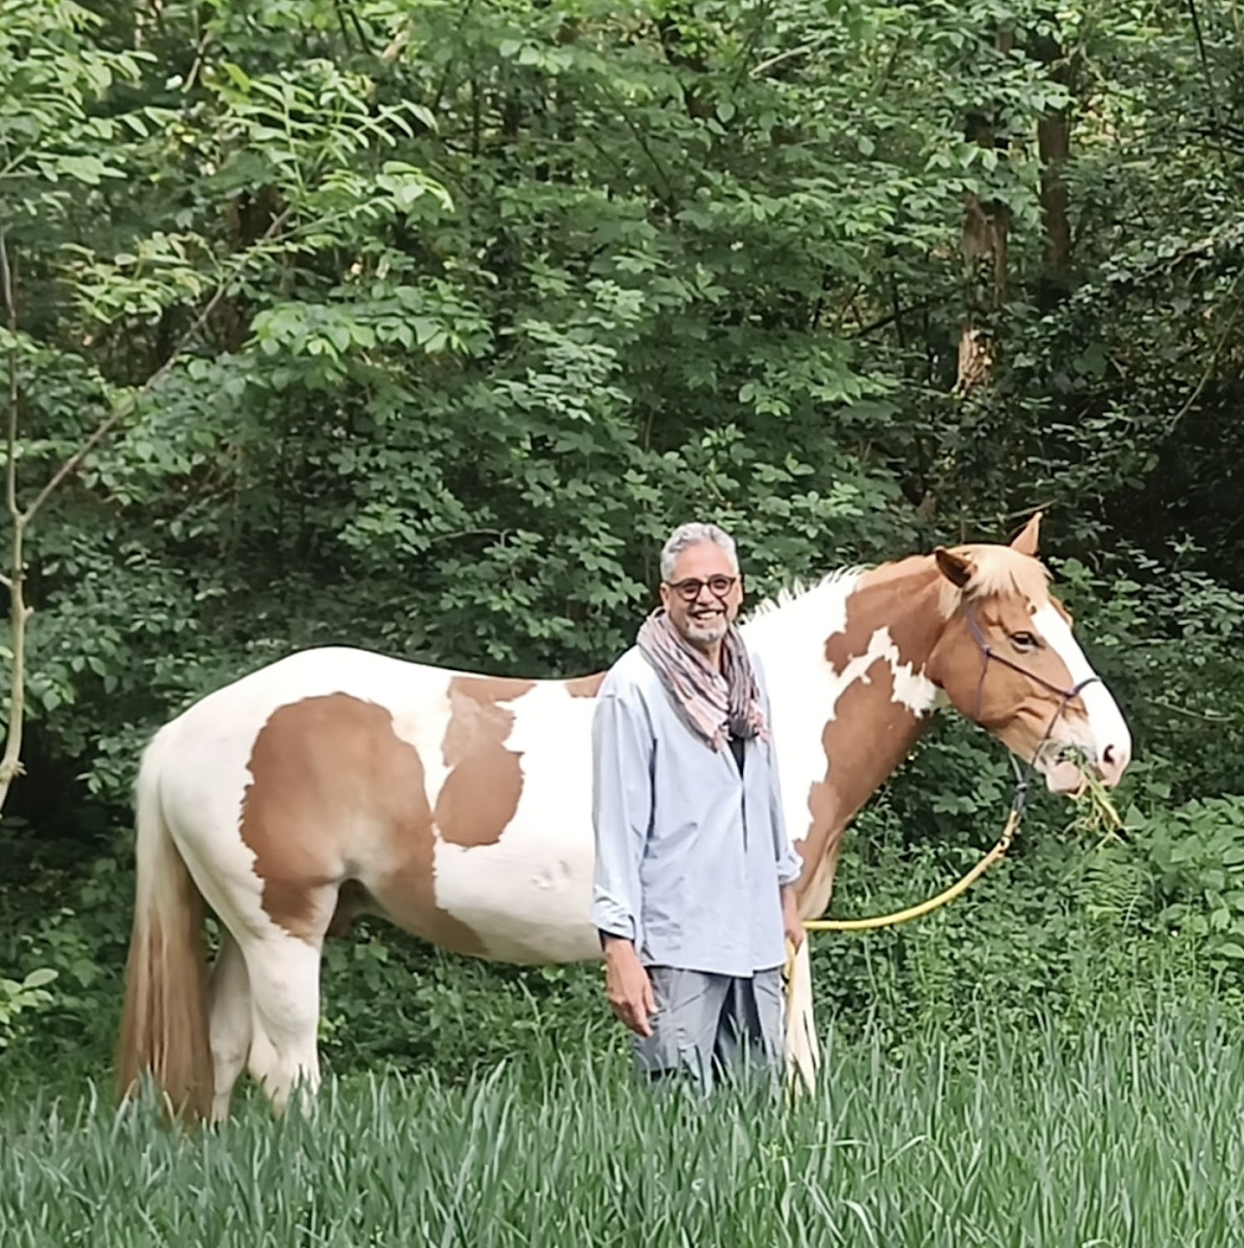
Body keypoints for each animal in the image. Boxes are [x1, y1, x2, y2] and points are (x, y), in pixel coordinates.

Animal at [117, 514, 1131, 1119]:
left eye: (1063, 619)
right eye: (1021, 635)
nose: (1112, 750)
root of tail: (184, 734)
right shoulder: (773, 930)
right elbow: (785, 1057)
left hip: (252, 934)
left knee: (224, 1060)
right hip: (285, 930)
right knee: (284, 1072)